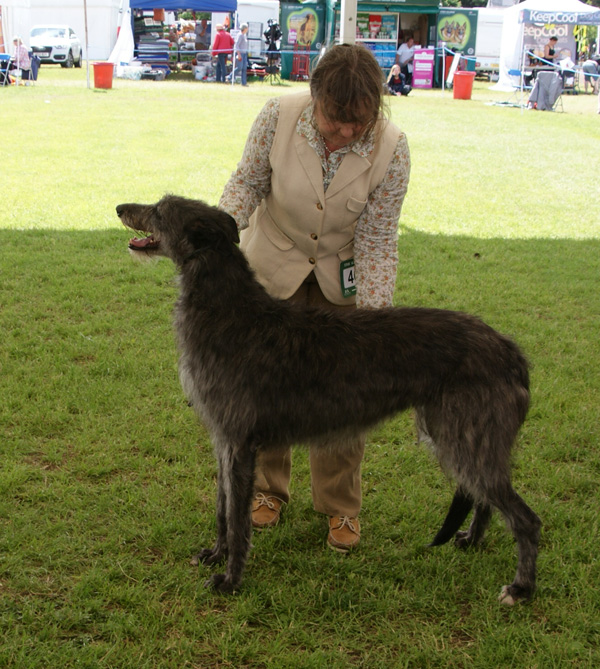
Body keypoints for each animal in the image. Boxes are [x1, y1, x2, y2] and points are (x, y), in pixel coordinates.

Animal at [115, 194, 540, 604]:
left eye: (158, 210)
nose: (120, 208)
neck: (228, 309)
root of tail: (510, 351)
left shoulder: (239, 442)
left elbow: (237, 520)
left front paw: (230, 580)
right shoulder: (224, 440)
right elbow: (223, 509)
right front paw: (216, 555)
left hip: (465, 435)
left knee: (526, 518)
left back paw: (521, 588)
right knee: (485, 497)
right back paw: (472, 540)